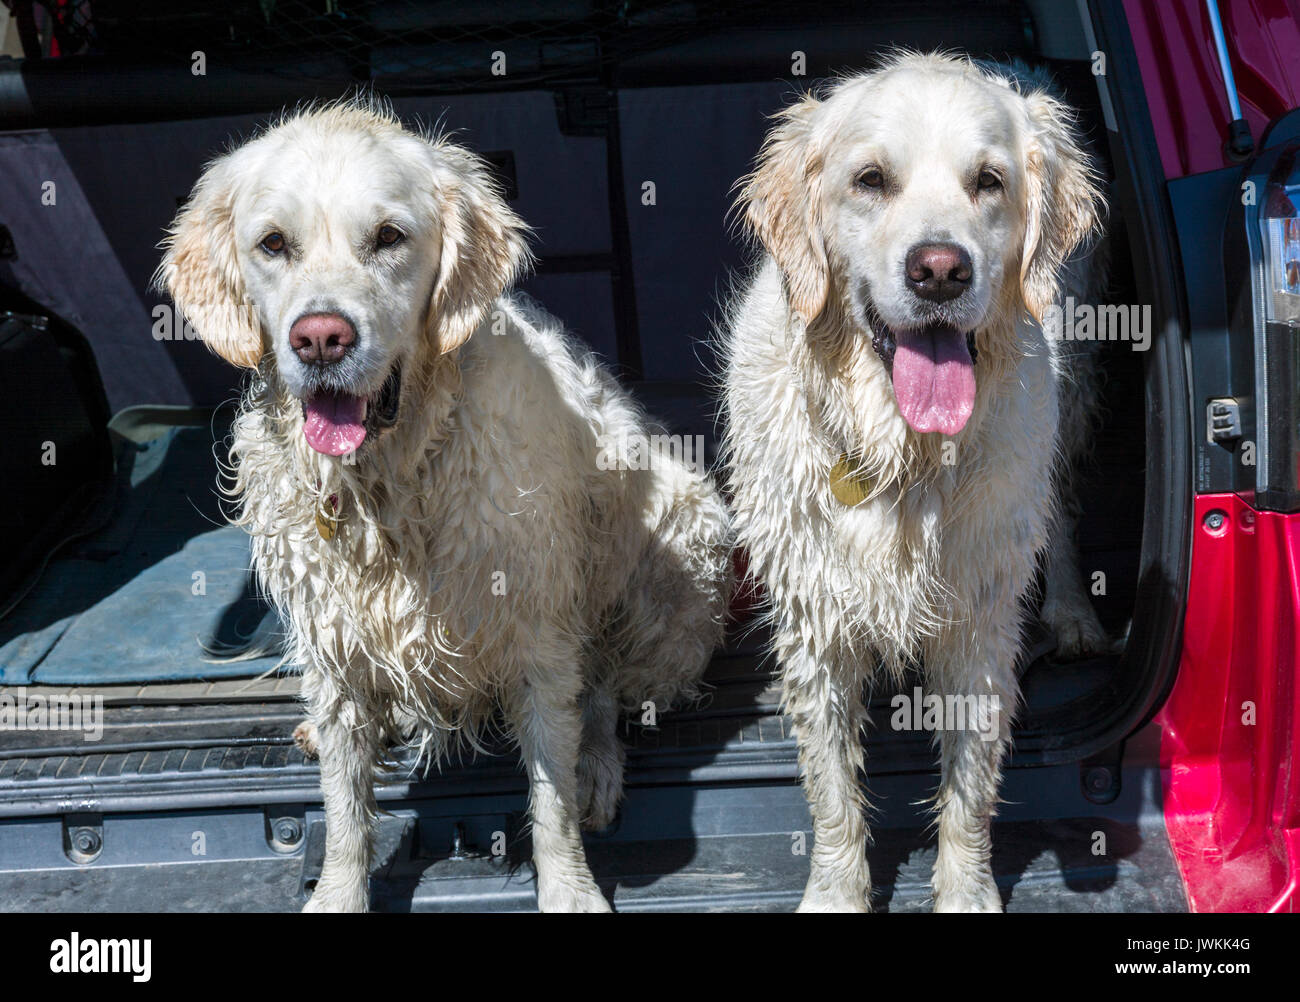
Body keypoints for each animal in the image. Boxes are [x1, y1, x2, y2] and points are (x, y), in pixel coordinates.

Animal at [157, 98, 733, 914]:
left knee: (605, 690)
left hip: (671, 563)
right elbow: (344, 808)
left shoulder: (536, 630)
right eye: (273, 244)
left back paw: (597, 763)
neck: (389, 482)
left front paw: (570, 887)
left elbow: (551, 799)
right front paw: (339, 890)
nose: (321, 339)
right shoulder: (333, 640)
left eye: (388, 237)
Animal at [722, 56, 1107, 914]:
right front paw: (837, 891)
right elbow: (833, 792)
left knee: (1064, 510)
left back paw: (1071, 609)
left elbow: (969, 790)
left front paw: (965, 890)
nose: (939, 271)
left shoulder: (979, 619)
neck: (907, 454)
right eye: (871, 179)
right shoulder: (815, 621)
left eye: (989, 181)